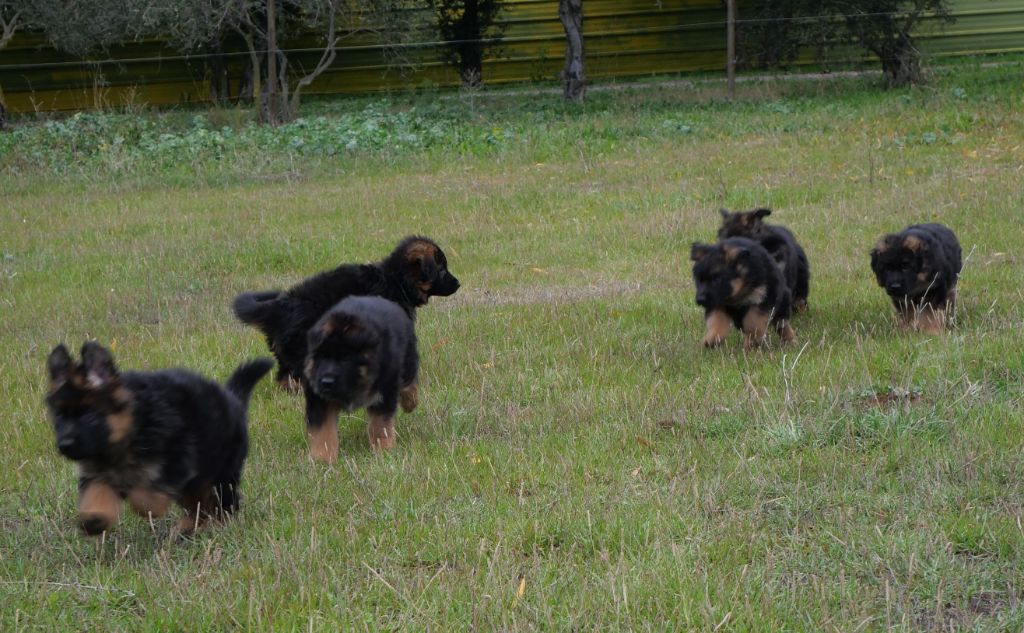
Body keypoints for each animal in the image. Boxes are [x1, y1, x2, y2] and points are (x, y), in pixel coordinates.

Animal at [44, 342, 272, 536]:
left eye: (90, 416)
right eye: (59, 416)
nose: (64, 446)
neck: (131, 427)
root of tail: (233, 399)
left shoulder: (177, 458)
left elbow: (145, 498)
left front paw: (144, 504)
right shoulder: (97, 473)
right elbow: (97, 493)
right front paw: (94, 519)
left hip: (220, 472)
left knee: (224, 502)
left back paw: (217, 525)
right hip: (196, 481)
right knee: (199, 504)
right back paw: (189, 527)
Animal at [301, 292, 417, 460]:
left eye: (344, 359)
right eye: (321, 357)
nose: (326, 382)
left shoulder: (385, 391)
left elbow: (380, 425)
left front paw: (384, 450)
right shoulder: (319, 398)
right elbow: (323, 429)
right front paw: (322, 457)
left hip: (408, 358)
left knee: (410, 381)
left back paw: (410, 403)